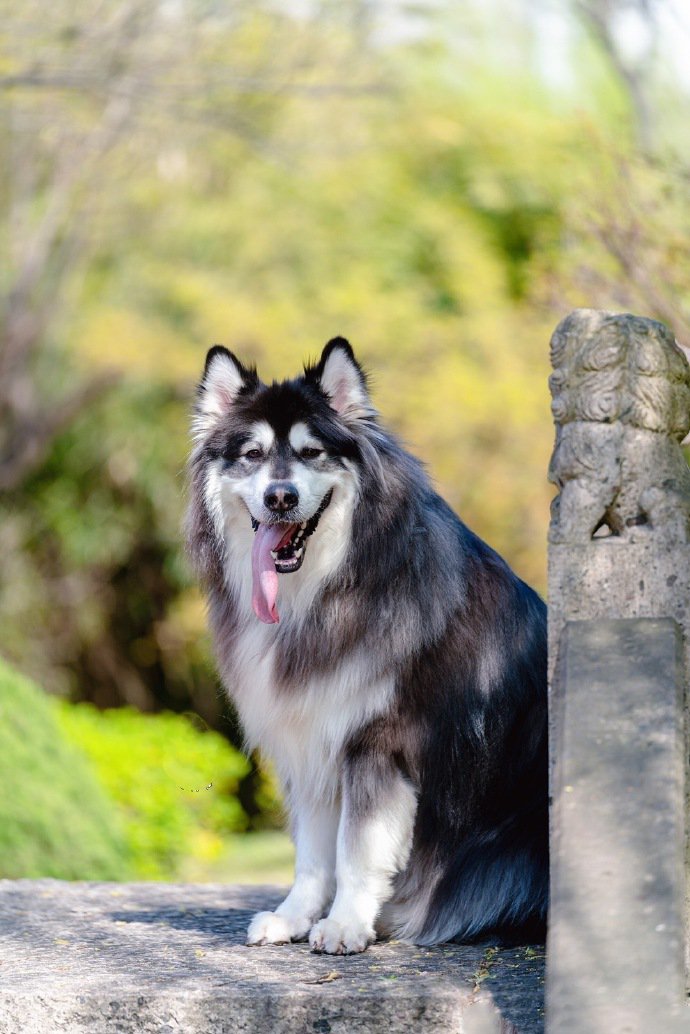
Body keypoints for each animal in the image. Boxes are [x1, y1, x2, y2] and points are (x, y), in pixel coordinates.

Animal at [186, 337, 546, 951]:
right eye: (252, 455)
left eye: (311, 453)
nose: (279, 498)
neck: (324, 592)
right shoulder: (311, 736)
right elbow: (313, 853)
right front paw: (294, 916)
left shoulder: (377, 743)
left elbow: (357, 849)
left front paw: (346, 923)